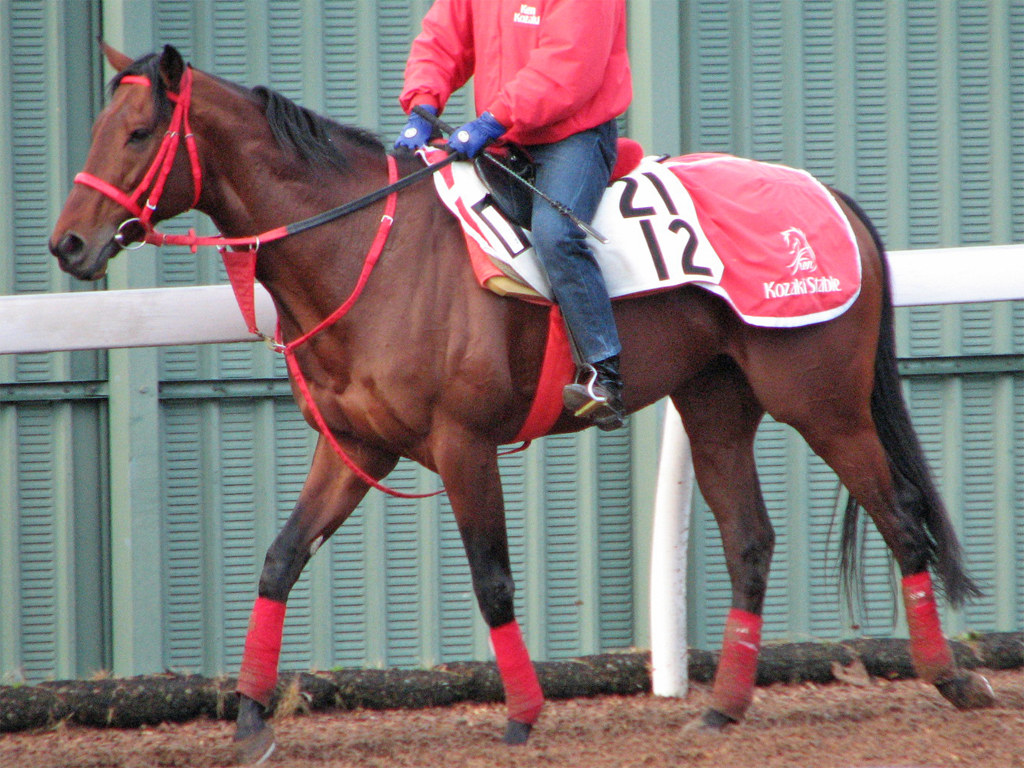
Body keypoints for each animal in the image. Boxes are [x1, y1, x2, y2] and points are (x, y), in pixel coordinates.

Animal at [48, 46, 991, 765]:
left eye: (138, 133)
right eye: (95, 129)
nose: (68, 244)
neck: (367, 247)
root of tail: (831, 201)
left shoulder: (462, 444)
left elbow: (492, 579)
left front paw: (524, 713)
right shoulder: (355, 447)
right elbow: (280, 560)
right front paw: (248, 720)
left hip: (822, 402)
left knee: (901, 515)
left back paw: (952, 678)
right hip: (716, 403)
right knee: (750, 543)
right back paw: (721, 708)